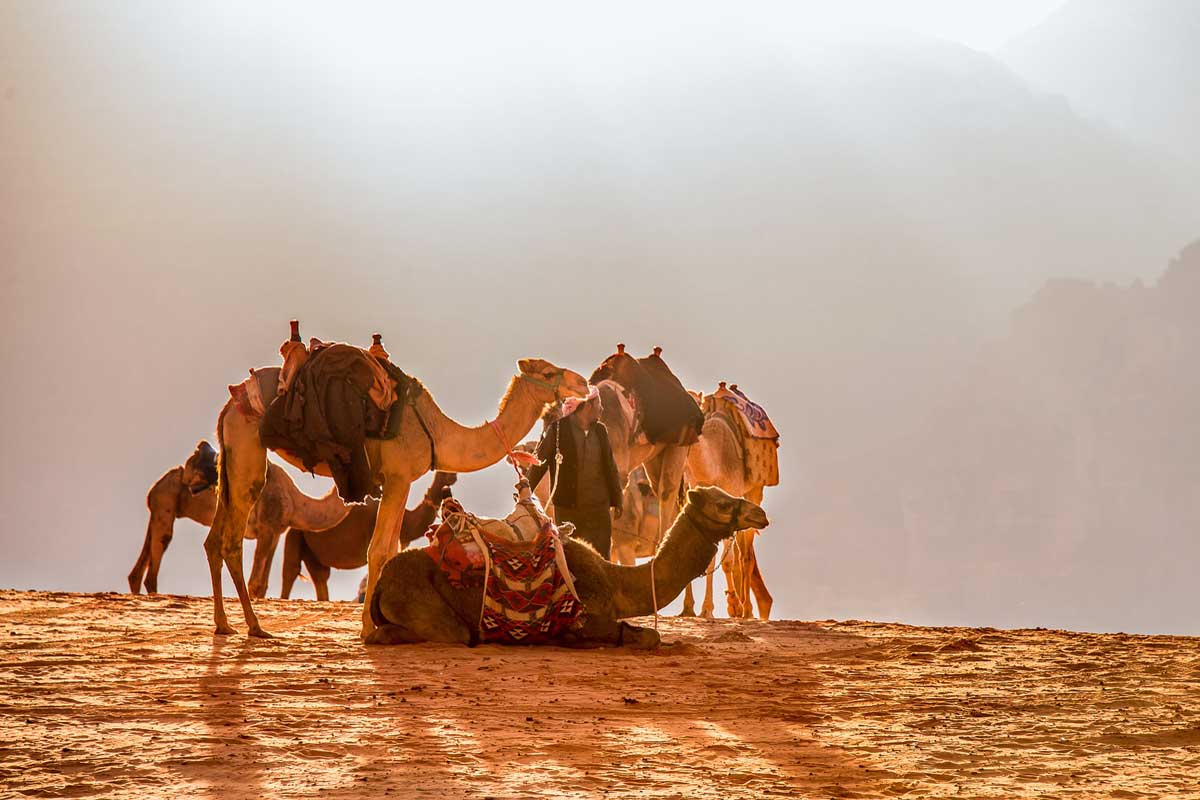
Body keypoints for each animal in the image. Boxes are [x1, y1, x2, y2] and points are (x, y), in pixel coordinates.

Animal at [129, 441, 350, 597]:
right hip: (165, 504)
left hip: (159, 509)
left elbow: (263, 585)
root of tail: (155, 487)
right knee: (157, 557)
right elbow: (255, 583)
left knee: (137, 572)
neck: (297, 503)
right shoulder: (266, 529)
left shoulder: (276, 533)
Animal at [364, 482, 768, 652]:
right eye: (721, 503)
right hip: (435, 616)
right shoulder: (589, 617)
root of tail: (382, 582)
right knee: (445, 634)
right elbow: (646, 637)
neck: (615, 581)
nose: (759, 513)